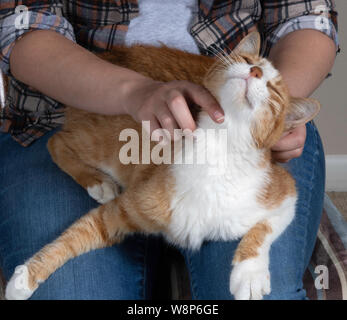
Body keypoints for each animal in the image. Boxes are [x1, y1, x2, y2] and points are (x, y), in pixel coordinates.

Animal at [5, 32, 320, 300]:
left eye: (273, 90)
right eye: (245, 59)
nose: (254, 71)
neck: (216, 147)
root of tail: (108, 55)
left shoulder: (286, 194)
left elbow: (264, 228)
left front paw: (250, 273)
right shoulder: (121, 211)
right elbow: (72, 237)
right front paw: (24, 279)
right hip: (101, 144)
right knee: (55, 141)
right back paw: (97, 181)